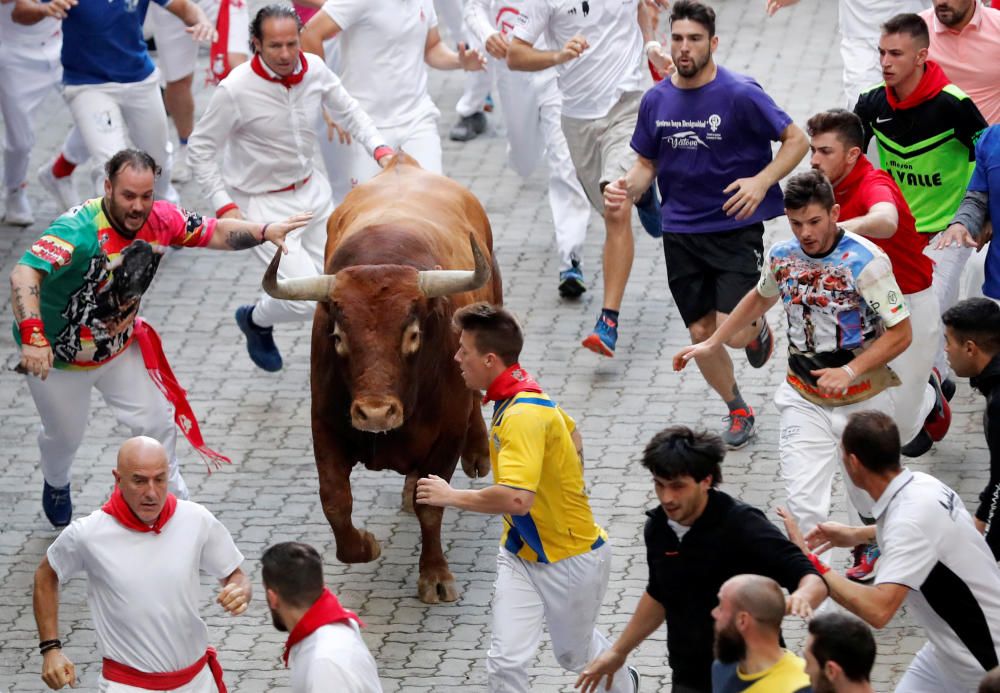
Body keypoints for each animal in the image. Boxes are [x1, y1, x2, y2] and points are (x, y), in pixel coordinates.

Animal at [264, 155, 500, 600]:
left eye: (413, 335)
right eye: (338, 337)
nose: (375, 413)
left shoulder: (446, 434)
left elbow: (431, 508)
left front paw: (435, 575)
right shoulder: (324, 425)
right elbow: (335, 500)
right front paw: (365, 545)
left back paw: (478, 451)